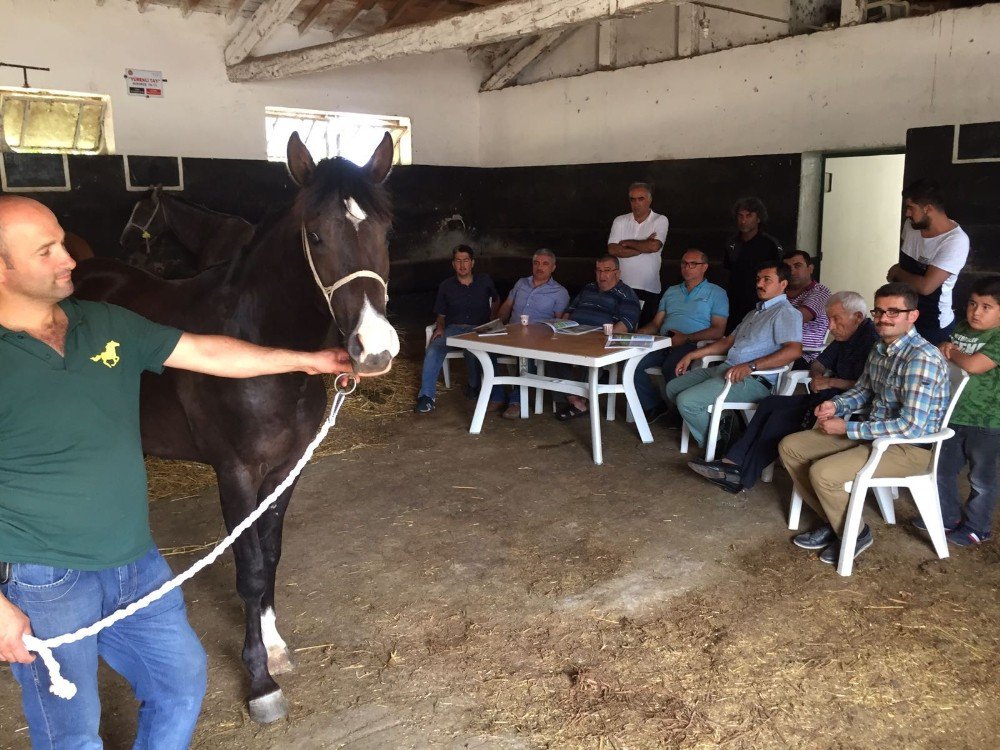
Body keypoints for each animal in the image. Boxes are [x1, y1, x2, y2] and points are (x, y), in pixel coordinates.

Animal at [71, 132, 398, 724]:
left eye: (386, 231)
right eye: (316, 235)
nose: (375, 349)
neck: (260, 346)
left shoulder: (286, 470)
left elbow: (270, 556)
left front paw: (275, 645)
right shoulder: (236, 474)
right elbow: (248, 569)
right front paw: (260, 681)